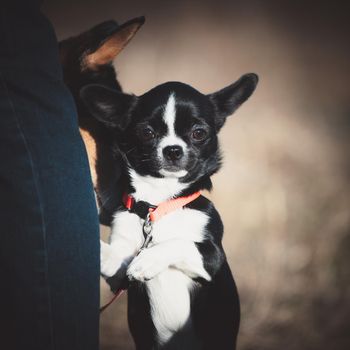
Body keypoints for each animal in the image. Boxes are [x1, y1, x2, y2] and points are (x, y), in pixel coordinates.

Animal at [80, 72, 258, 348]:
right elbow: (110, 255)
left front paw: (148, 259)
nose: (173, 149)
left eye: (198, 133)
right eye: (146, 132)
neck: (159, 206)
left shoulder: (213, 258)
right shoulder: (118, 273)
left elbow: (179, 243)